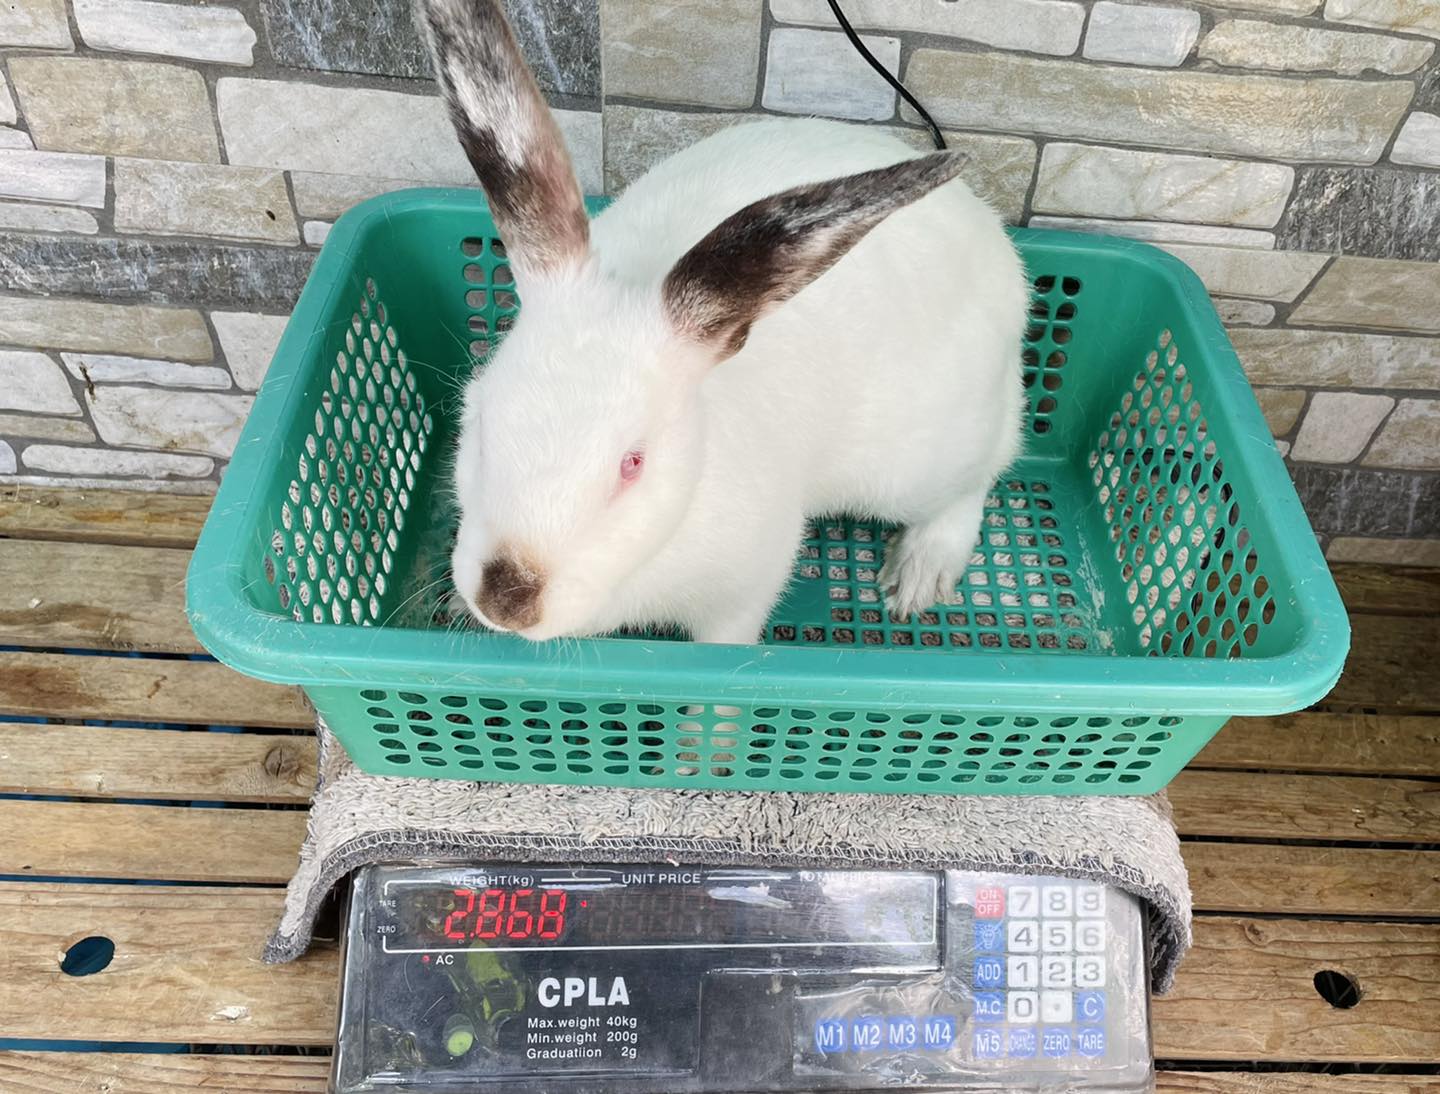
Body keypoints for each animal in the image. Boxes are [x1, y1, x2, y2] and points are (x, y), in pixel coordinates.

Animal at [419, 0, 1028, 645]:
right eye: (480, 416)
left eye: (633, 463)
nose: (507, 602)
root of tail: (999, 248)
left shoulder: (741, 598)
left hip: (920, 462)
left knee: (976, 479)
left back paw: (917, 578)